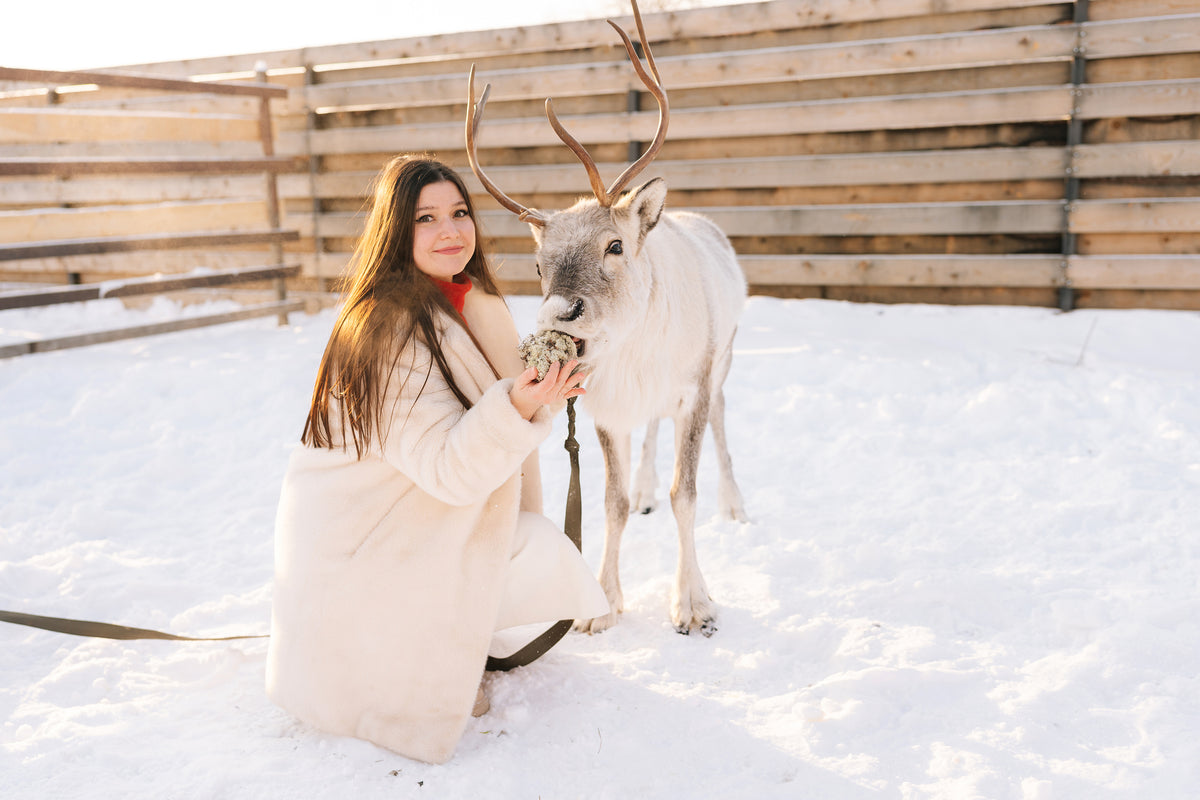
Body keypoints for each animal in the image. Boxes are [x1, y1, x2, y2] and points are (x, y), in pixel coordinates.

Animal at [465, 0, 746, 637]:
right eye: (538, 263)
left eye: (615, 245)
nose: (561, 311)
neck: (636, 355)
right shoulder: (605, 407)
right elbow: (610, 501)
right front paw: (602, 603)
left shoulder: (692, 386)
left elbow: (685, 492)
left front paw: (693, 604)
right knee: (651, 436)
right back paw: (646, 489)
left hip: (725, 360)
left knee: (721, 423)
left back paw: (736, 504)